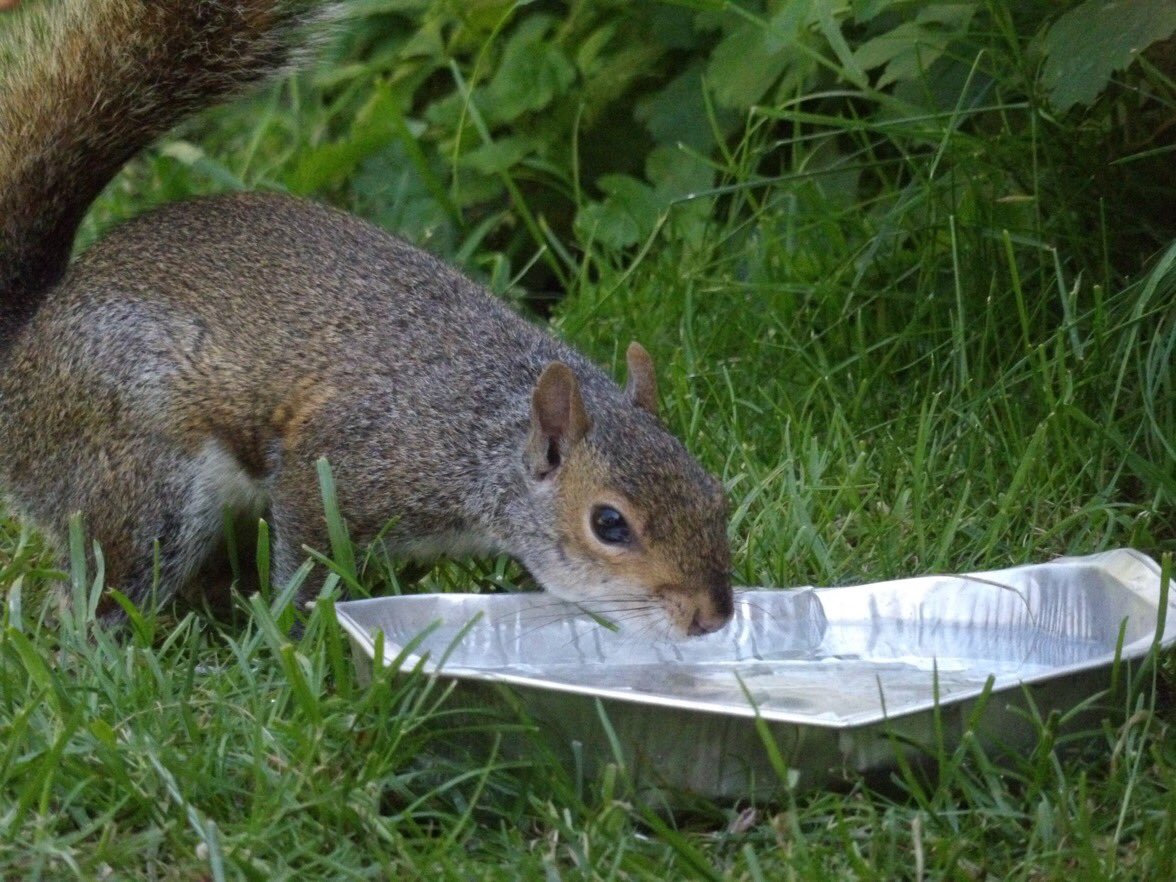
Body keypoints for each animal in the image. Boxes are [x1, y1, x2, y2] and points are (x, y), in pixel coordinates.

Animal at [0, 0, 734, 638]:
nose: (712, 616)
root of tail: (24, 343)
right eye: (609, 524)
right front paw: (301, 634)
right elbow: (306, 554)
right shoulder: (345, 462)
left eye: (715, 494)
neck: (484, 437)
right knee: (103, 581)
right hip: (139, 480)